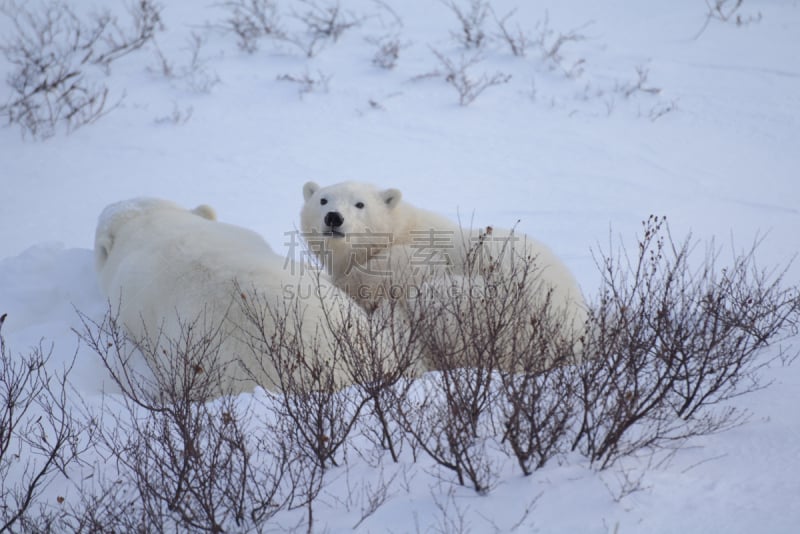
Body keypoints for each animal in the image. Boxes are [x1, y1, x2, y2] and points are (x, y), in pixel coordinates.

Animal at [300, 182, 588, 370]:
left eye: (360, 204)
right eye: (323, 200)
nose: (334, 218)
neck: (400, 230)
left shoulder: (420, 256)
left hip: (498, 309)